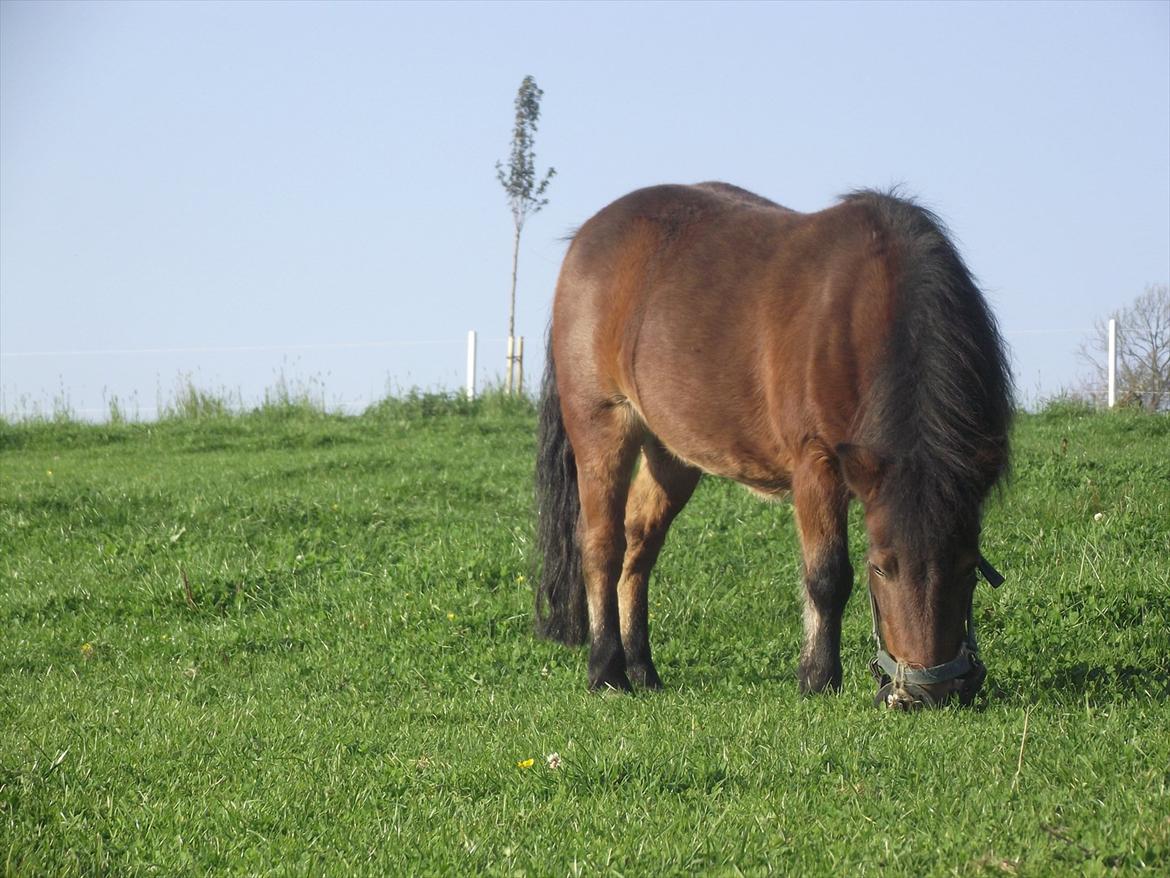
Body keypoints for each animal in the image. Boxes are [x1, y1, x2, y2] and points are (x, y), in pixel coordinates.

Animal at [535, 183, 1010, 707]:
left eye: (968, 567)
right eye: (882, 569)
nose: (929, 694)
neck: (866, 310)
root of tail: (586, 238)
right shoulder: (817, 463)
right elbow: (827, 577)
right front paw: (818, 678)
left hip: (670, 453)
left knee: (640, 543)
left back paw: (642, 667)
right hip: (602, 425)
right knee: (602, 544)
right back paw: (607, 671)